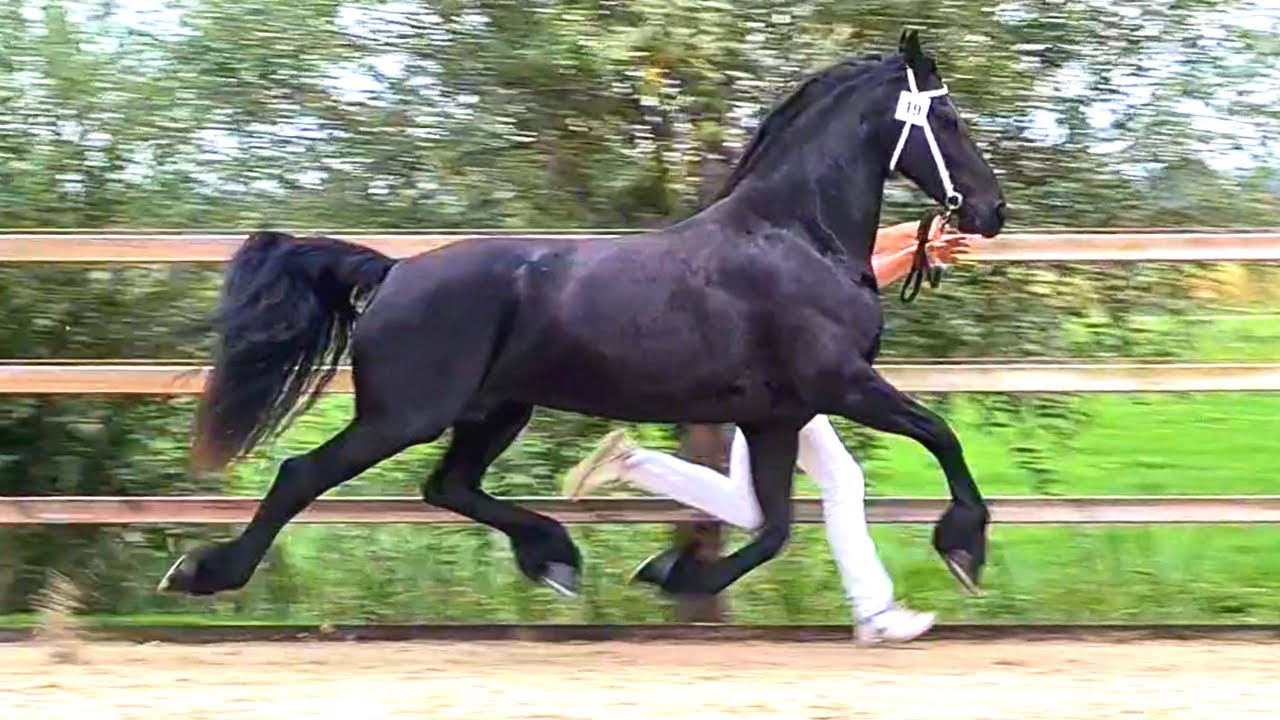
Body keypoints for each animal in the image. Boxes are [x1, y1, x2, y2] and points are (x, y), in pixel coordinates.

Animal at [158, 30, 1006, 602]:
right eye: (950, 120)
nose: (990, 212)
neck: (797, 235)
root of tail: (396, 273)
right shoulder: (840, 382)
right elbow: (940, 434)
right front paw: (963, 548)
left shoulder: (778, 414)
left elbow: (772, 527)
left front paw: (673, 575)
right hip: (405, 415)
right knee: (304, 474)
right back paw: (203, 572)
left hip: (496, 410)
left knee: (448, 488)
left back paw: (555, 555)